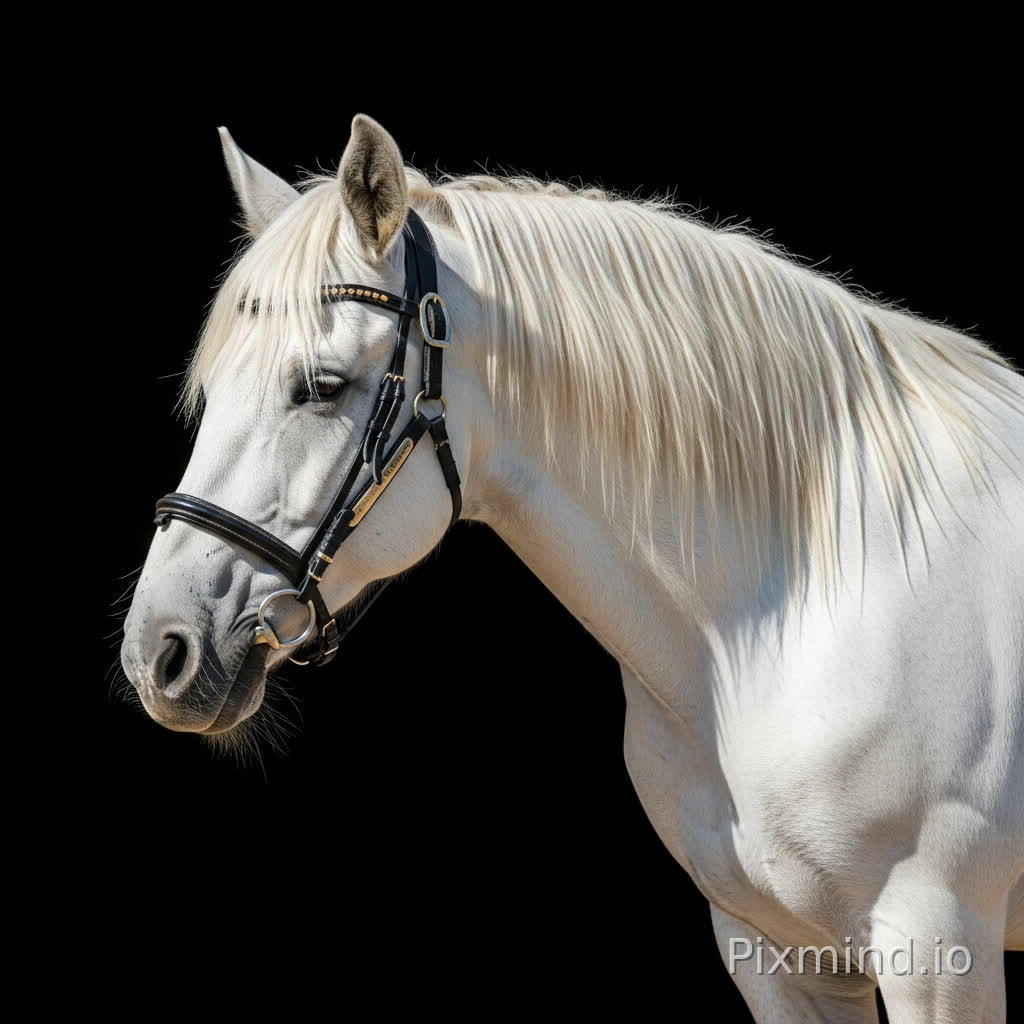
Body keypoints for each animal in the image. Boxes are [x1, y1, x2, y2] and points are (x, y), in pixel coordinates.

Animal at [120, 115, 1023, 1022]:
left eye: (322, 386)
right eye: (211, 390)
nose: (160, 652)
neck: (793, 608)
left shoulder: (938, 948)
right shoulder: (777, 953)